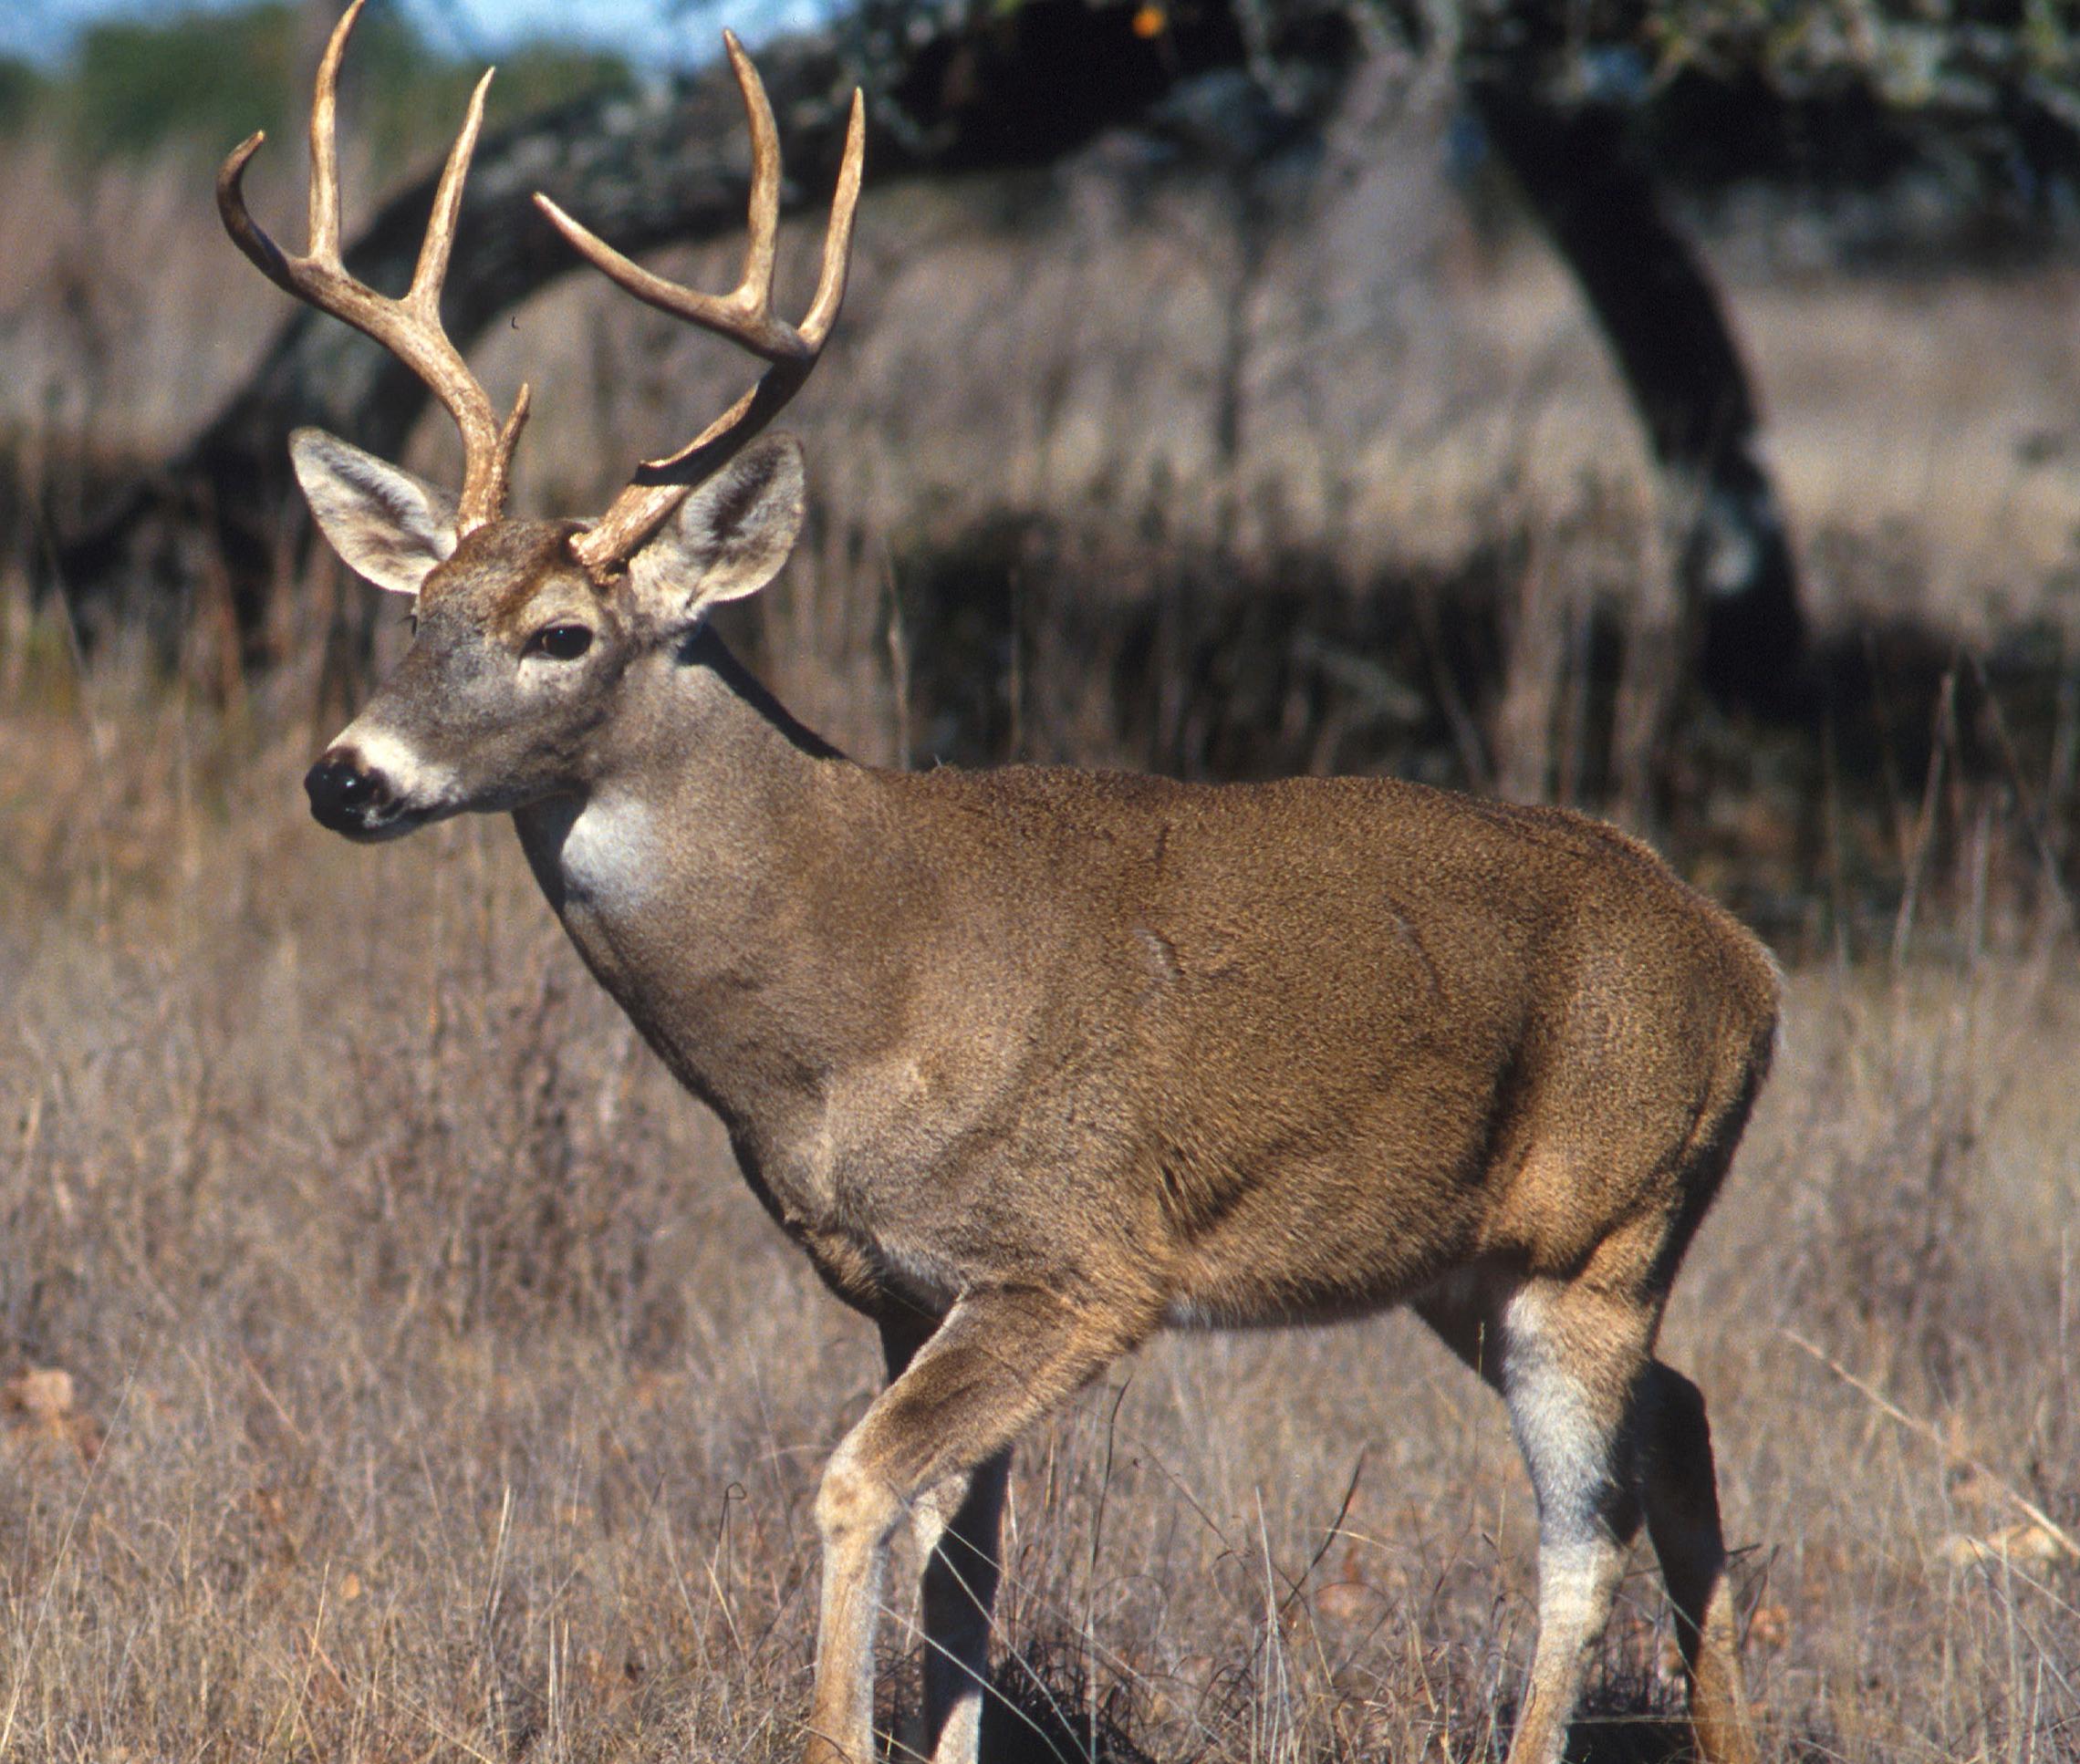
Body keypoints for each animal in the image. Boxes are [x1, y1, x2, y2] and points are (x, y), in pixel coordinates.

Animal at [227, 6, 1772, 1755]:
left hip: (1603, 1227)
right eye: (416, 611)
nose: (346, 775)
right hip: (1474, 1258)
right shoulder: (907, 1285)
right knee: (1686, 1432)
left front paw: (833, 1729)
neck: (851, 995)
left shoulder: (1078, 1262)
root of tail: (1749, 962)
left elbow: (856, 1493)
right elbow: (964, 1567)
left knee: (1585, 1531)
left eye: (560, 633)